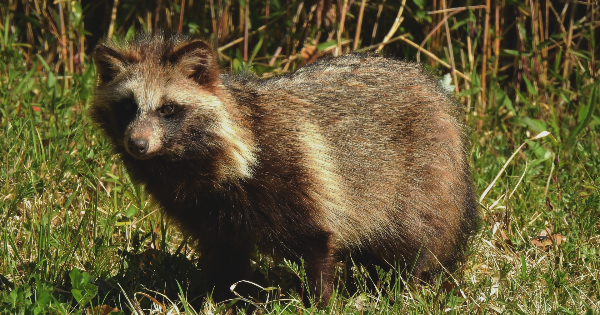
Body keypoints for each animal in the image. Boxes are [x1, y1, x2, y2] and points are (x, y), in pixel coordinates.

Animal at [89, 33, 478, 304]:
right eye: (127, 106)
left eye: (167, 109)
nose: (138, 145)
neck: (188, 161)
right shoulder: (207, 210)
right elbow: (223, 258)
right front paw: (217, 299)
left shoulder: (288, 171)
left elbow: (315, 241)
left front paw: (319, 302)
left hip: (420, 176)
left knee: (415, 242)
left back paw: (410, 284)